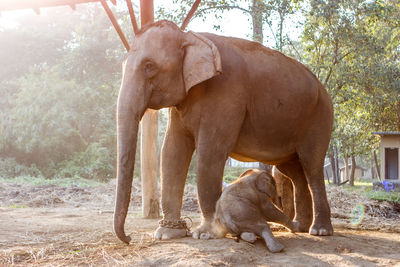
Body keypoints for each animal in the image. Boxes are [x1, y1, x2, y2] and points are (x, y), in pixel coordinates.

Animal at [113, 19, 334, 244]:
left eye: (149, 66)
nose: (128, 238)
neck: (189, 35)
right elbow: (172, 152)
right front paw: (167, 233)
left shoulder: (226, 93)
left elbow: (211, 153)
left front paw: (206, 233)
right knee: (294, 171)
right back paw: (300, 227)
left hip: (320, 117)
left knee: (312, 166)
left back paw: (320, 231)